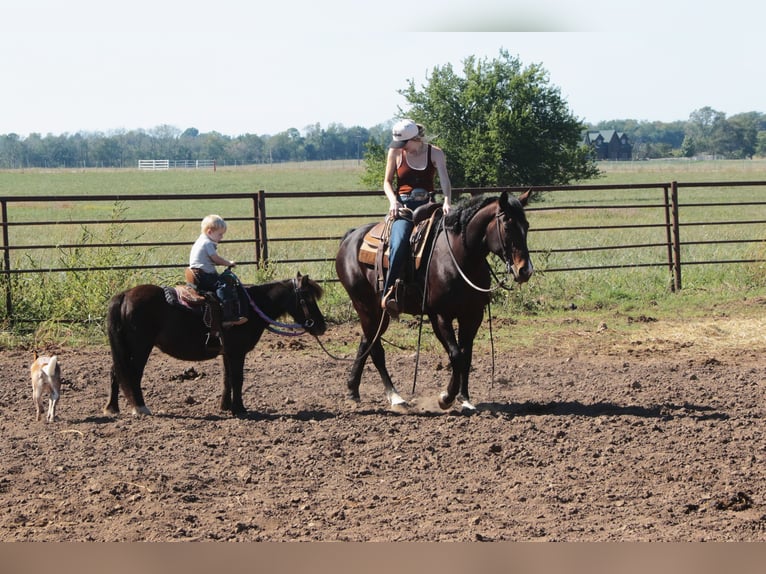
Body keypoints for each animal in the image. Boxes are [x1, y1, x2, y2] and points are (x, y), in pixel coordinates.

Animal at [104, 272, 326, 417]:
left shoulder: (227, 352)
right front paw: (239, 409)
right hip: (140, 347)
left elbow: (227, 379)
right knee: (132, 374)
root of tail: (125, 295)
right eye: (307, 298)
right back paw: (140, 408)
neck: (251, 307)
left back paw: (112, 408)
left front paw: (225, 407)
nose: (321, 326)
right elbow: (237, 379)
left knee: (116, 372)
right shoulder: (237, 353)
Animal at [335, 190, 533, 412]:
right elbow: (455, 355)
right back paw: (395, 397)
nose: (525, 270)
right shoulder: (439, 315)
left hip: (378, 313)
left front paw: (464, 398)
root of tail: (351, 237)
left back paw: (353, 389)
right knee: (375, 349)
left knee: (366, 342)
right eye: (507, 226)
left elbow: (466, 355)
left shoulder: (472, 315)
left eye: (526, 226)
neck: (459, 257)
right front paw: (446, 397)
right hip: (365, 306)